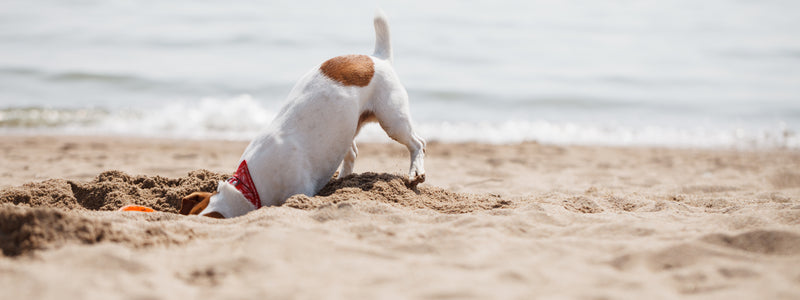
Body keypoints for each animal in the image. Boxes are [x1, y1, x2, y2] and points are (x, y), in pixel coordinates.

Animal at [180, 10, 424, 219]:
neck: (249, 186)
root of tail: (377, 58)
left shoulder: (300, 190)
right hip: (347, 129)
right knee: (352, 151)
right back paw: (343, 179)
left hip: (392, 120)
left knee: (417, 143)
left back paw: (415, 172)